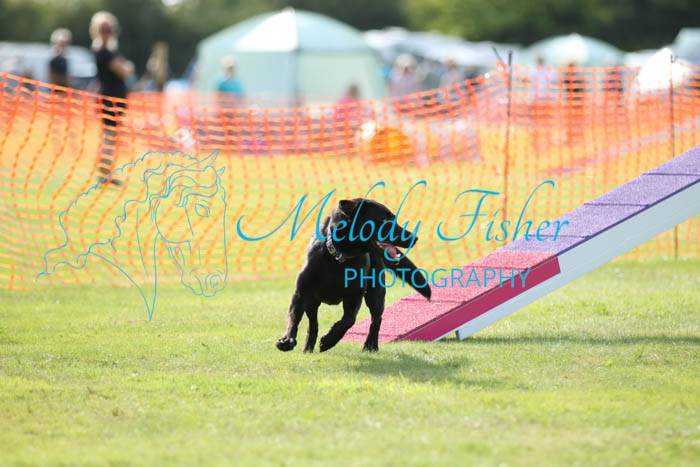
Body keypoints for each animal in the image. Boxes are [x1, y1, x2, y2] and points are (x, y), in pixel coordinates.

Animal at [276, 198, 431, 353]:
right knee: (313, 325)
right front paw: (286, 340)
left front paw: (329, 340)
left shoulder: (354, 296)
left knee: (376, 319)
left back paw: (371, 346)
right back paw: (307, 348)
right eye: (384, 220)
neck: (339, 258)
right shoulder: (301, 292)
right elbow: (293, 318)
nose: (414, 238)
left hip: (376, 294)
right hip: (313, 302)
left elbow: (349, 320)